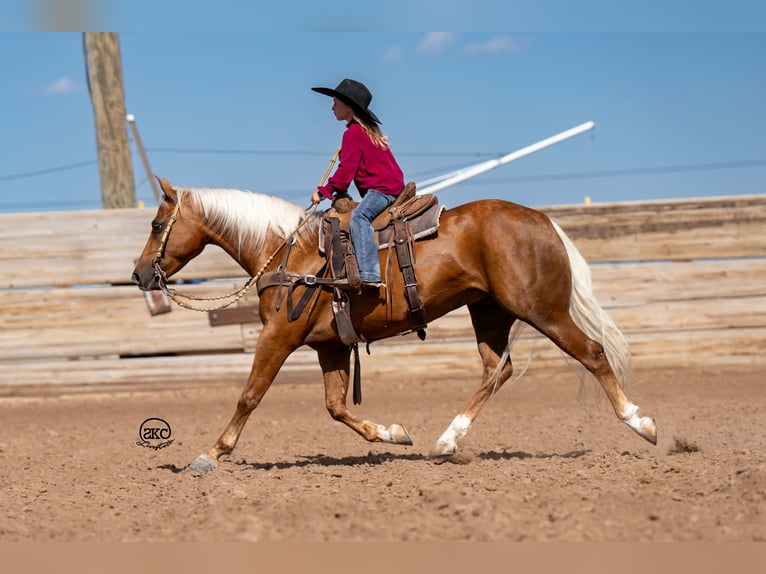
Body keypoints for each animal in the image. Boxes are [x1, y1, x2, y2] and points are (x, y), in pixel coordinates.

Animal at [132, 178, 657, 473]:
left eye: (157, 225)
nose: (139, 275)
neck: (288, 252)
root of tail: (544, 222)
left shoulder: (278, 336)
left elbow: (249, 395)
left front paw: (211, 454)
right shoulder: (330, 347)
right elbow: (335, 407)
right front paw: (395, 433)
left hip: (541, 310)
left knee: (591, 352)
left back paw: (643, 423)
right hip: (489, 311)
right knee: (497, 371)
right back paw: (446, 441)